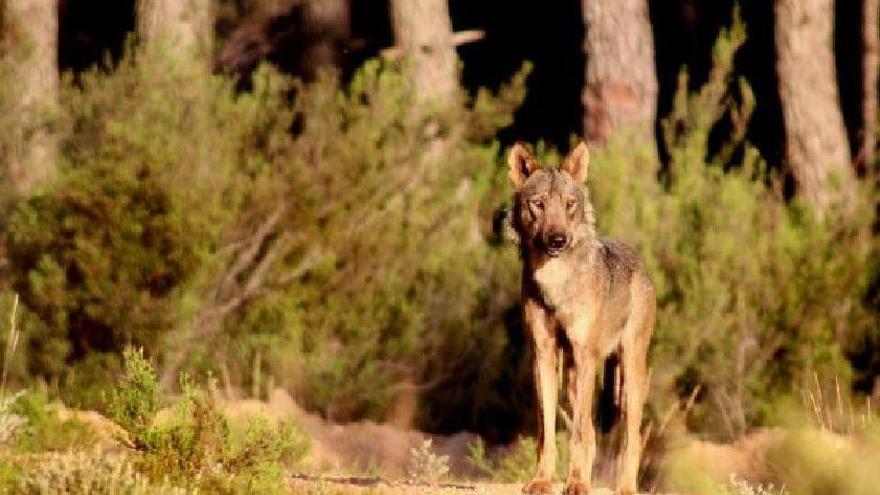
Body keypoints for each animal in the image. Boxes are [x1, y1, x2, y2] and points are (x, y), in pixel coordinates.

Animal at [506, 141, 656, 495]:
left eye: (570, 205)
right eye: (538, 204)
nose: (558, 239)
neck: (555, 284)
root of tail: (638, 260)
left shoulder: (585, 354)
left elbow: (575, 435)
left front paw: (575, 483)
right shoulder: (544, 354)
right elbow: (547, 432)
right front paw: (543, 480)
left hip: (629, 372)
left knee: (628, 438)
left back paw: (625, 487)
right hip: (574, 376)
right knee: (588, 432)